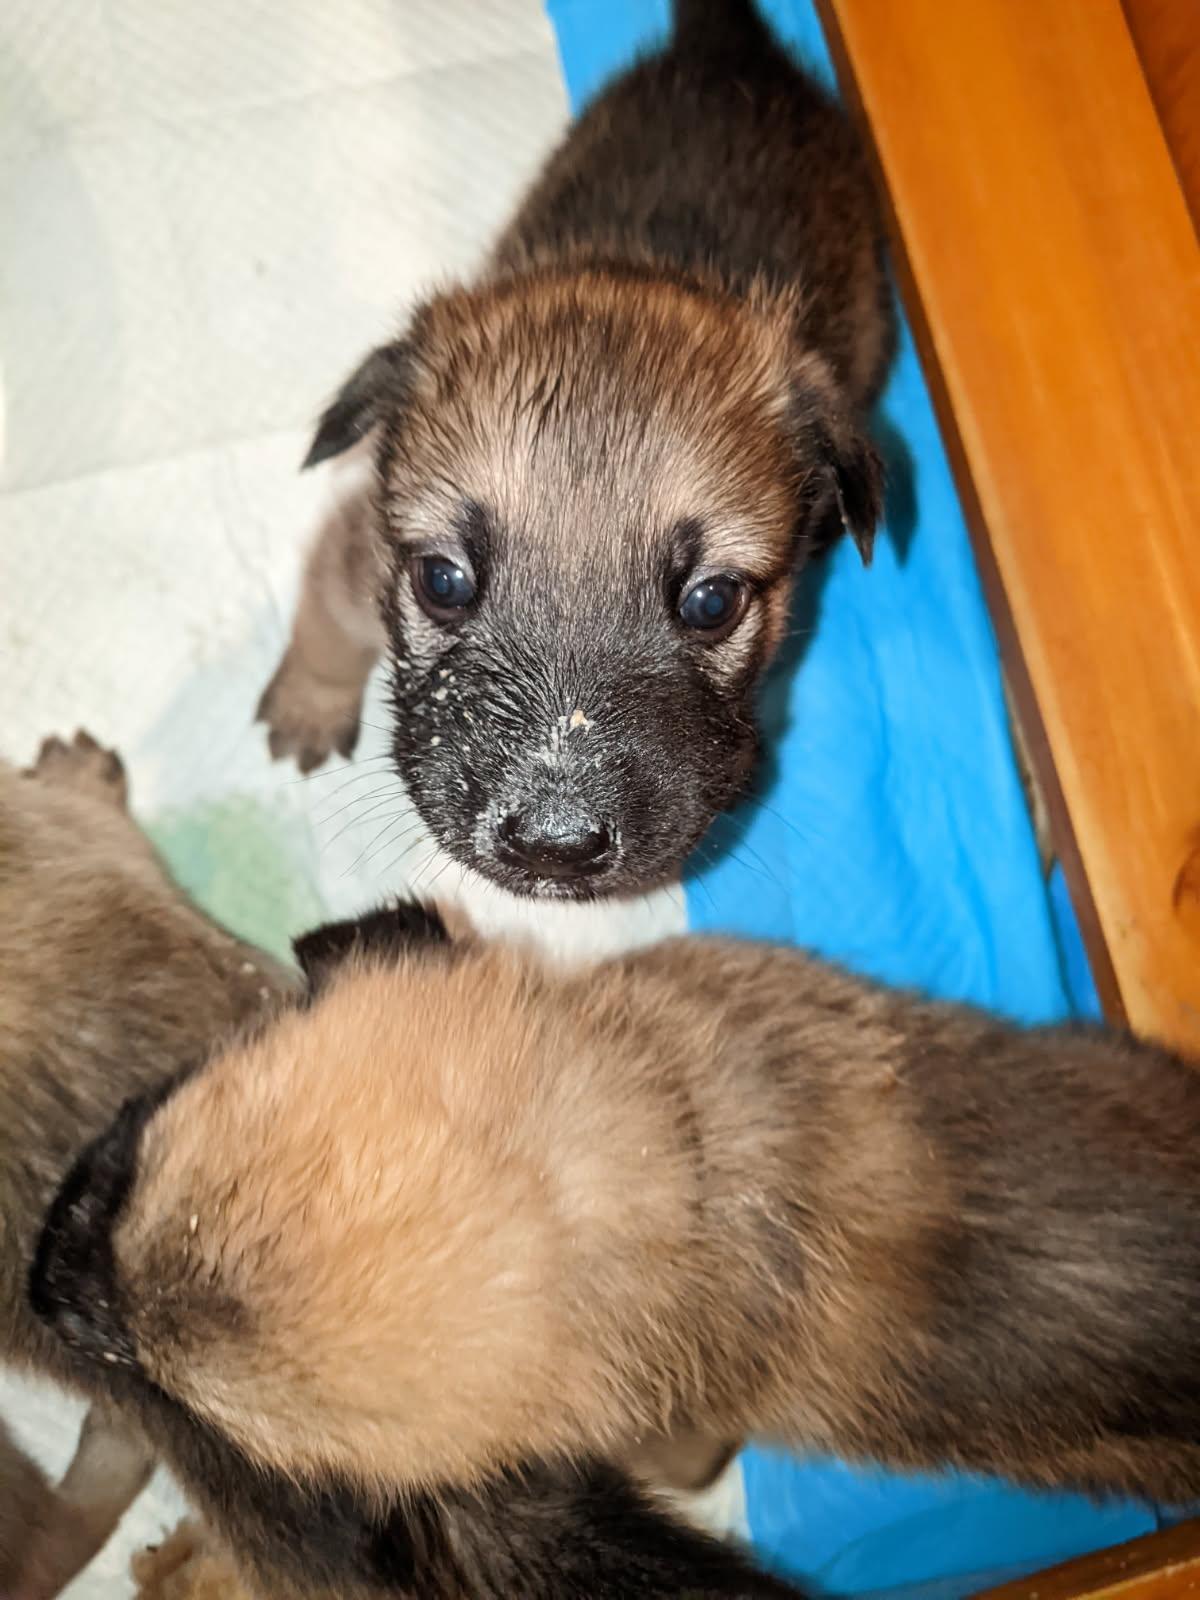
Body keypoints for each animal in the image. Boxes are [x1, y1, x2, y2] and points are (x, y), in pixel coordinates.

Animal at [258, 0, 895, 906]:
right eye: (442, 580)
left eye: (712, 601)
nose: (553, 844)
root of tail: (732, 49)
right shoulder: (356, 548)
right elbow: (328, 623)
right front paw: (310, 702)